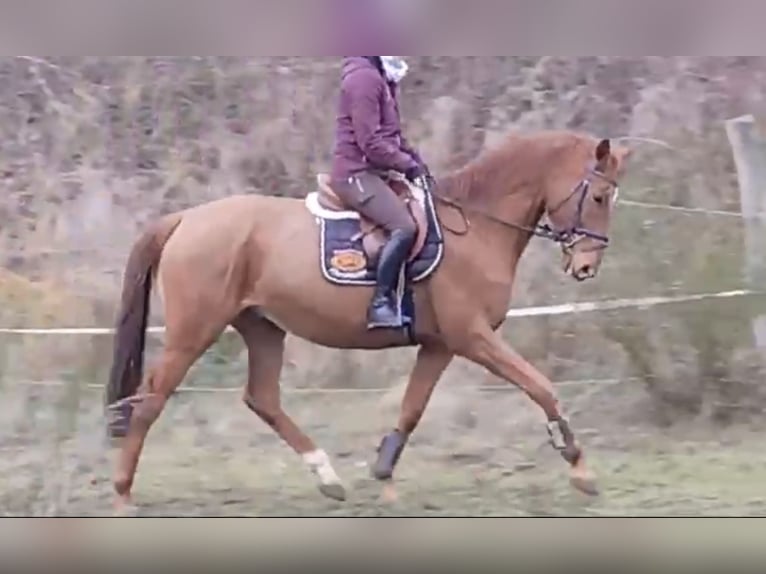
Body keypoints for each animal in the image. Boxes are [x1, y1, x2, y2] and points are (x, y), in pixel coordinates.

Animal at [105, 129, 632, 512]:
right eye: (599, 196)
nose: (586, 267)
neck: (477, 227)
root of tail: (185, 219)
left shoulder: (440, 345)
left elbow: (412, 408)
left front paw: (384, 475)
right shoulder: (472, 337)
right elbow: (541, 386)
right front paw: (580, 468)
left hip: (262, 326)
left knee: (262, 398)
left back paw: (328, 478)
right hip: (193, 331)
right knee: (151, 400)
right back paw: (123, 492)